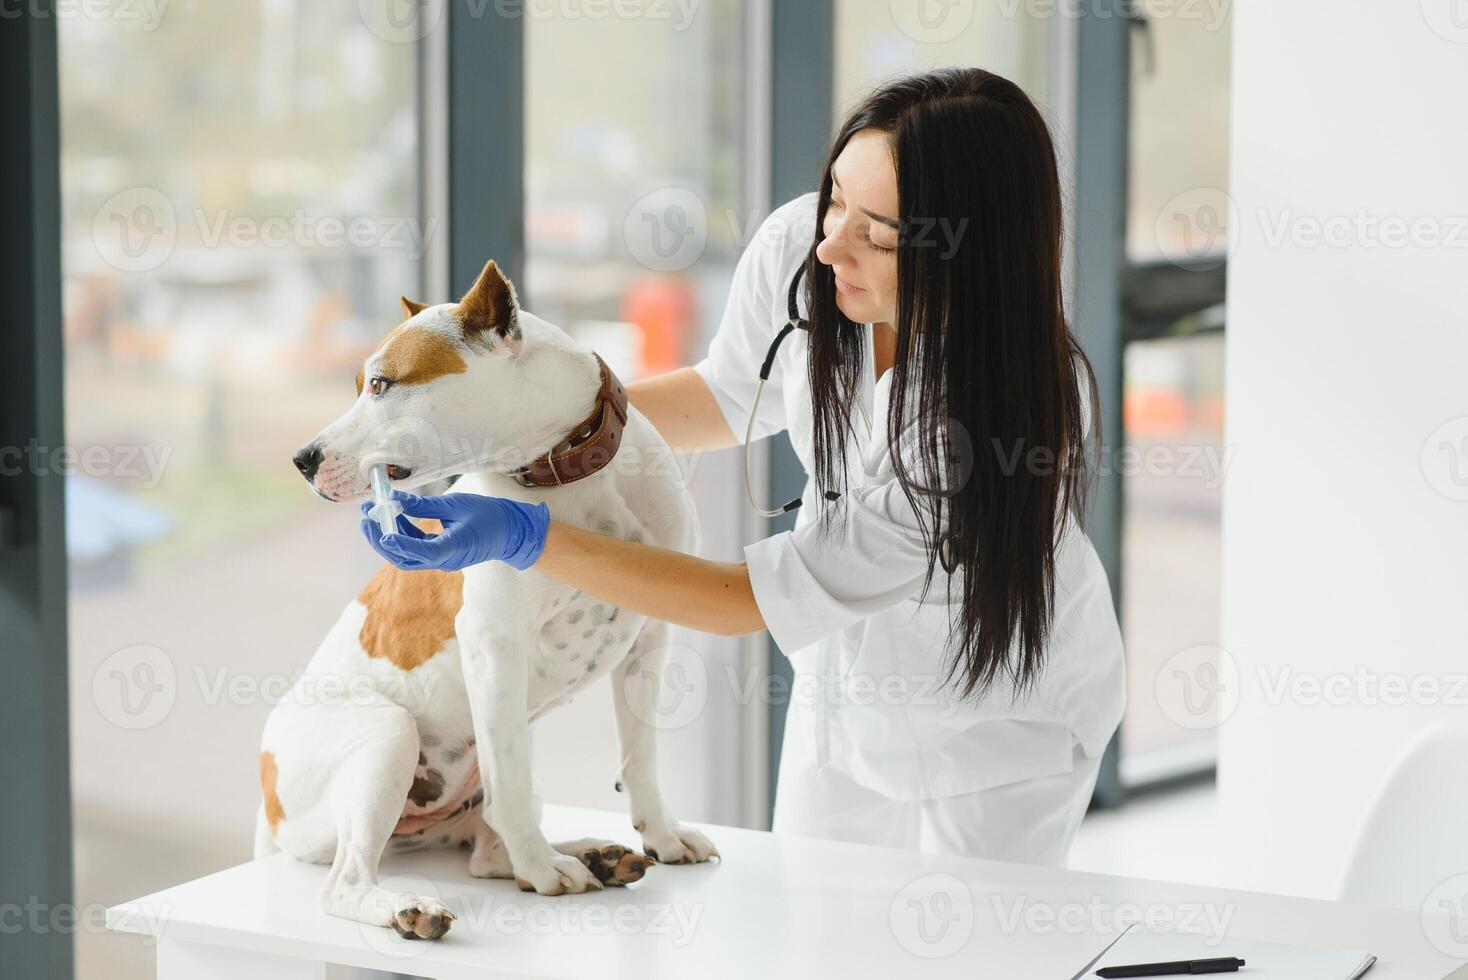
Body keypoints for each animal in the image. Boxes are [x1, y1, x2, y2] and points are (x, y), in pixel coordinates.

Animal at [264, 259, 722, 938]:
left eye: (381, 383)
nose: (301, 458)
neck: (566, 469)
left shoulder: (651, 638)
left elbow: (639, 757)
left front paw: (661, 836)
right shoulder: (494, 648)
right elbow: (511, 785)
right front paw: (543, 867)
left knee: (485, 849)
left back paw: (590, 855)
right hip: (388, 734)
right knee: (347, 880)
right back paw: (419, 904)